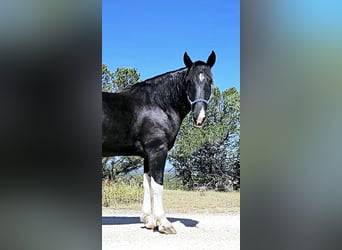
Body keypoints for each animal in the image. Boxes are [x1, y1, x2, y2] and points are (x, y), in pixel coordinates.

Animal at [101, 51, 215, 234]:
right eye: (189, 81)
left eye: (210, 80)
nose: (199, 116)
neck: (159, 104)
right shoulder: (157, 150)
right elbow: (158, 184)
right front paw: (163, 223)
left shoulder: (147, 154)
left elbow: (147, 184)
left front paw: (149, 220)